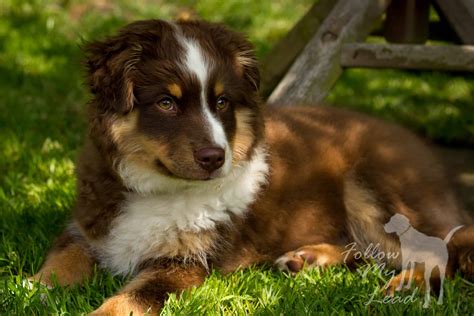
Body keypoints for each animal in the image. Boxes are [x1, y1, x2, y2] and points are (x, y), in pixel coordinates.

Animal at [31, 19, 472, 314]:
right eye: (166, 102)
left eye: (222, 102)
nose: (214, 158)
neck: (160, 188)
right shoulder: (86, 228)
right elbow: (57, 265)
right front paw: (33, 289)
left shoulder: (188, 263)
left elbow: (133, 298)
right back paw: (307, 258)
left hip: (376, 186)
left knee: (440, 251)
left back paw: (407, 286)